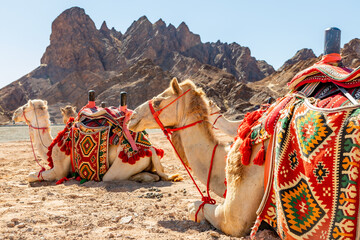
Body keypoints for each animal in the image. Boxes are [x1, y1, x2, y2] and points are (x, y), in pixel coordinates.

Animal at [12, 100, 181, 184]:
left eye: (25, 106)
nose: (14, 114)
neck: (52, 145)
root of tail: (150, 149)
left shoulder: (59, 170)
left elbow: (31, 175)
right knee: (156, 174)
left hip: (124, 163)